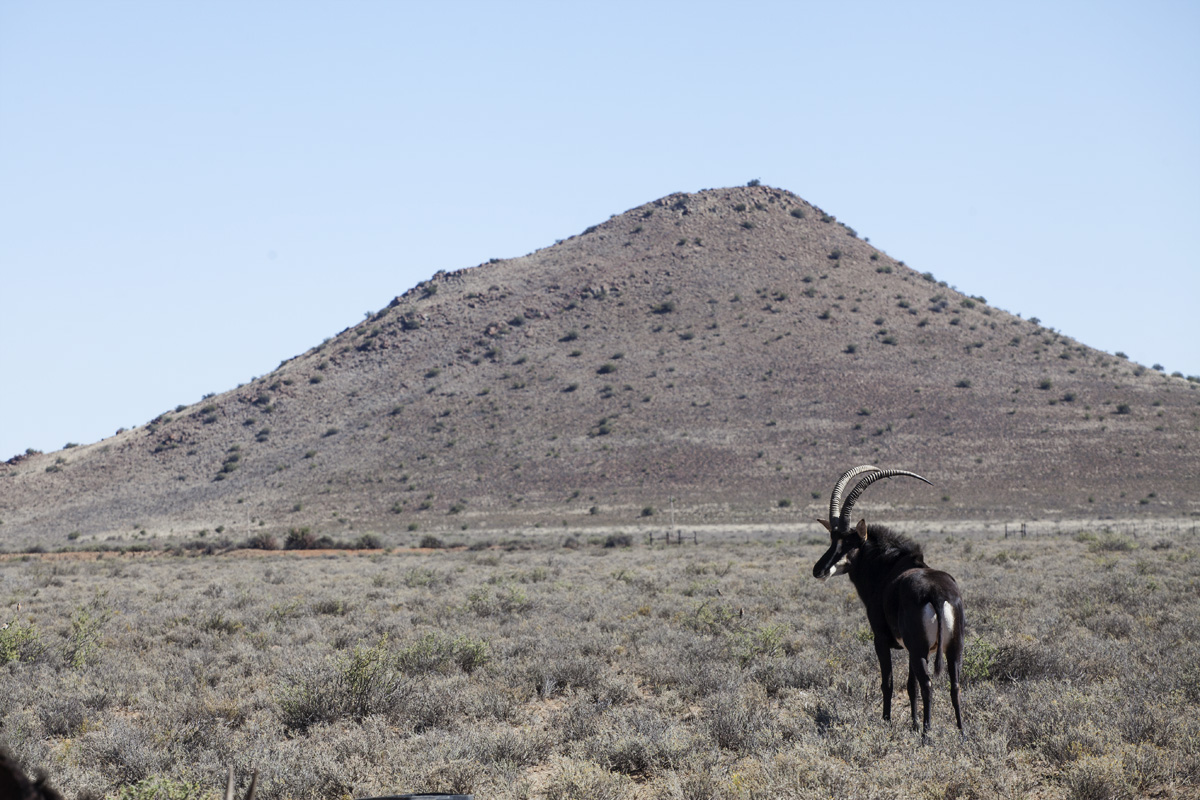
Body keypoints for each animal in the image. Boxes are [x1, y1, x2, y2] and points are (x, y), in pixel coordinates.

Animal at [812, 465, 965, 736]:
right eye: (832, 539)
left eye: (849, 543)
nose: (818, 570)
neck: (889, 567)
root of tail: (937, 594)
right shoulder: (909, 649)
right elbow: (910, 686)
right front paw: (912, 724)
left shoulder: (881, 640)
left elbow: (889, 682)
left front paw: (887, 721)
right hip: (952, 648)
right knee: (954, 685)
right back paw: (962, 735)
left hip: (921, 650)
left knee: (928, 685)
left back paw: (927, 734)